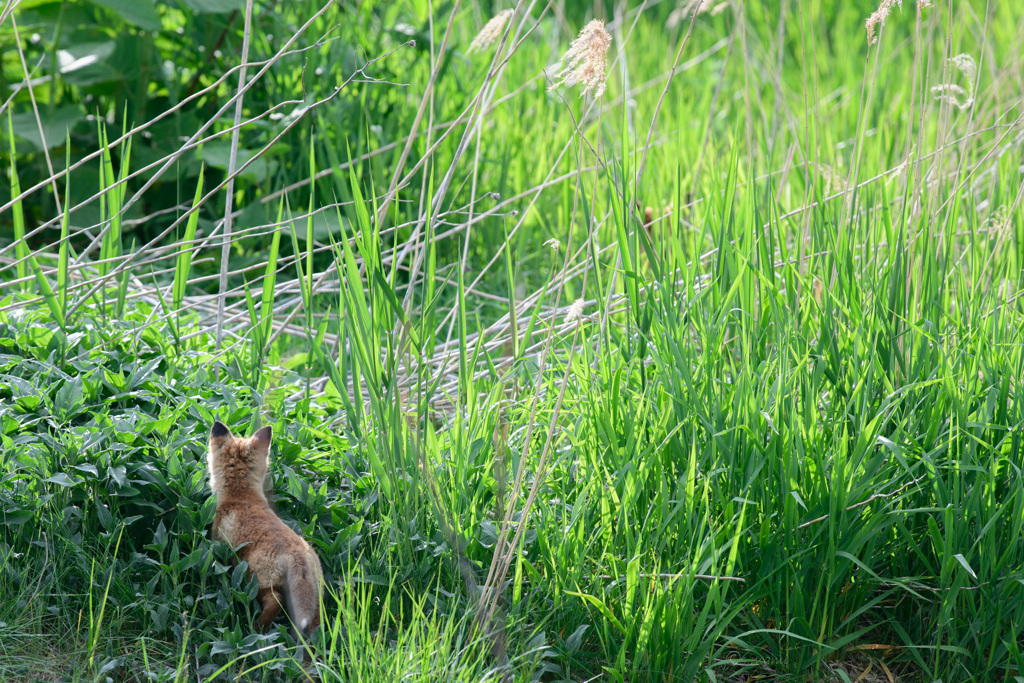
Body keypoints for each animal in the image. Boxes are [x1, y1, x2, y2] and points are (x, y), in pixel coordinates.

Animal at [205, 419, 321, 659]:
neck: (241, 497)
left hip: (256, 580)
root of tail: (299, 557)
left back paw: (258, 631)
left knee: (275, 600)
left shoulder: (219, 544)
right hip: (315, 603)